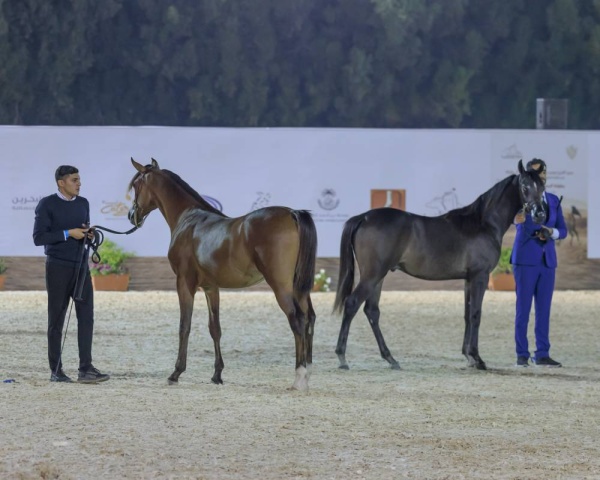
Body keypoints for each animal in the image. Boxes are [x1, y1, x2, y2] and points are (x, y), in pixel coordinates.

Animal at [127, 158, 318, 390]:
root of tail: (292, 213)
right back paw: (307, 373)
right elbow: (215, 328)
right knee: (309, 319)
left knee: (297, 320)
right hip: (300, 288)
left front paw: (176, 372)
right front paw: (217, 375)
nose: (131, 216)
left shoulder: (184, 283)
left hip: (282, 286)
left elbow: (184, 326)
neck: (189, 219)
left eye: (136, 185)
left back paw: (299, 379)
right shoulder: (211, 287)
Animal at [332, 161, 548, 372]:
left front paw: (468, 356)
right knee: (352, 304)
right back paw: (342, 357)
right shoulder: (480, 276)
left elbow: (467, 314)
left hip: (379, 277)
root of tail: (363, 217)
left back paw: (390, 359)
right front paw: (478, 359)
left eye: (542, 187)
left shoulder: (468, 279)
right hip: (373, 275)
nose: (539, 214)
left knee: (372, 311)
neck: (482, 223)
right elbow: (476, 314)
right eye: (525, 186)